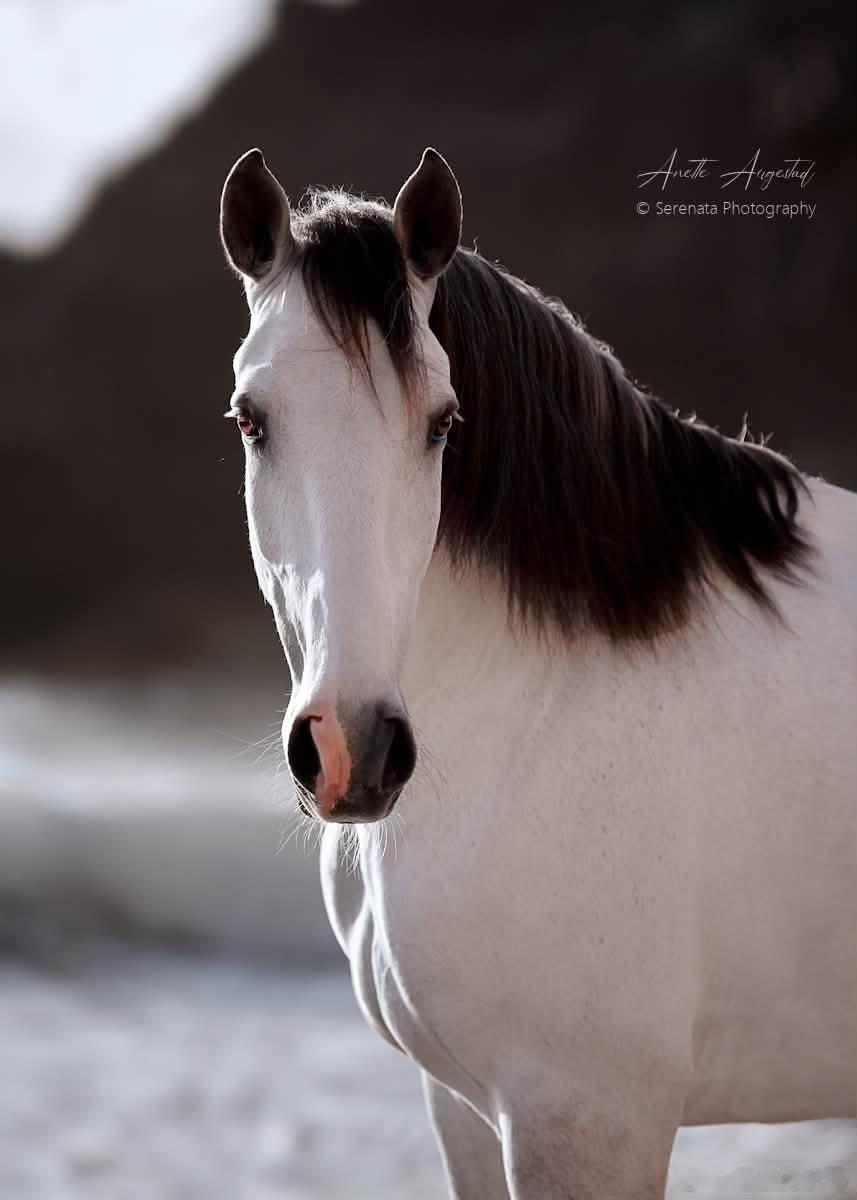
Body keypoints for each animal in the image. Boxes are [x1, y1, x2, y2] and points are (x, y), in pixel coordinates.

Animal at [218, 146, 856, 1199]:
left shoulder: (586, 1115)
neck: (541, 711)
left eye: (442, 423)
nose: (354, 749)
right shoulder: (467, 1111)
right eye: (249, 419)